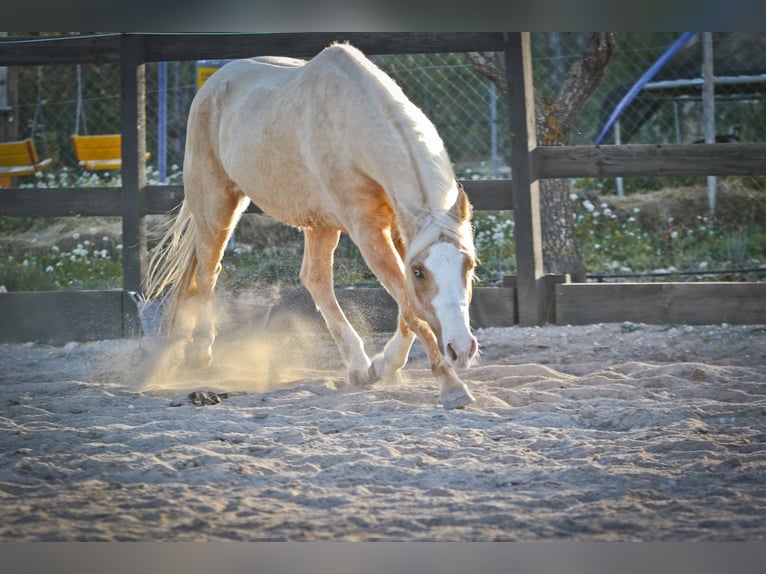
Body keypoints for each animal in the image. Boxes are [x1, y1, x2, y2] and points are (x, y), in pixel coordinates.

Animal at [146, 42, 480, 410]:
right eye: (420, 272)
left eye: (469, 264)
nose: (460, 349)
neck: (352, 122)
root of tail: (211, 86)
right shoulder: (367, 231)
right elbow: (412, 307)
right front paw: (451, 386)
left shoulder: (398, 228)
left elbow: (407, 307)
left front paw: (384, 366)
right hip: (217, 205)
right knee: (209, 271)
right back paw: (199, 353)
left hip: (318, 225)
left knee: (314, 279)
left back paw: (359, 366)